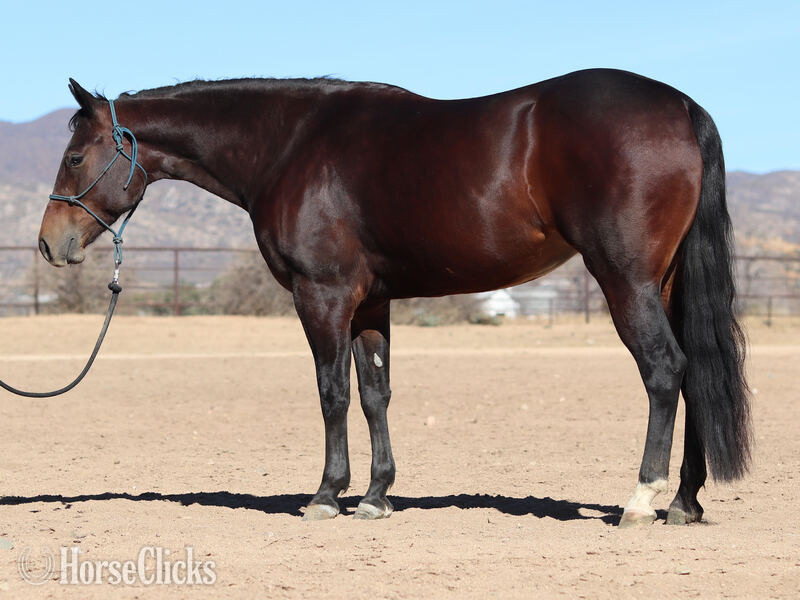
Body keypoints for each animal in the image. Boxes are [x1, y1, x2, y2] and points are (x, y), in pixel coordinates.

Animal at [38, 69, 751, 526]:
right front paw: (377, 495)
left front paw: (328, 494)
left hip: (625, 279)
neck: (291, 146)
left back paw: (642, 499)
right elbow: (375, 392)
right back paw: (685, 502)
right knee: (692, 373)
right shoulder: (370, 303)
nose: (50, 244)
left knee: (664, 369)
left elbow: (331, 392)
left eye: (74, 157)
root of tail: (681, 107)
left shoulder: (322, 295)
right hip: (664, 282)